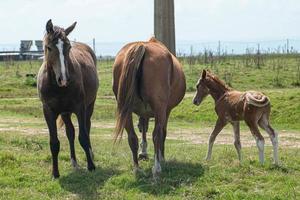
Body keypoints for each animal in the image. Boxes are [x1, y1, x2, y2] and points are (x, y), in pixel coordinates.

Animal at [37, 19, 99, 177]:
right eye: (48, 48)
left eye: (68, 47)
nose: (63, 79)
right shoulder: (48, 111)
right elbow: (54, 142)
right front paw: (55, 173)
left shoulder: (80, 107)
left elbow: (83, 136)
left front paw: (91, 166)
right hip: (65, 113)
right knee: (70, 132)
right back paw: (74, 161)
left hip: (89, 106)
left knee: (87, 127)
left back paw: (90, 154)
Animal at [113, 37, 185, 177]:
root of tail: (142, 46)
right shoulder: (166, 111)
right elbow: (162, 132)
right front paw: (161, 157)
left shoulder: (143, 112)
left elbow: (143, 128)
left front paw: (143, 152)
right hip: (160, 108)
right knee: (157, 134)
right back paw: (157, 167)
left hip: (125, 109)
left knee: (132, 137)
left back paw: (136, 168)